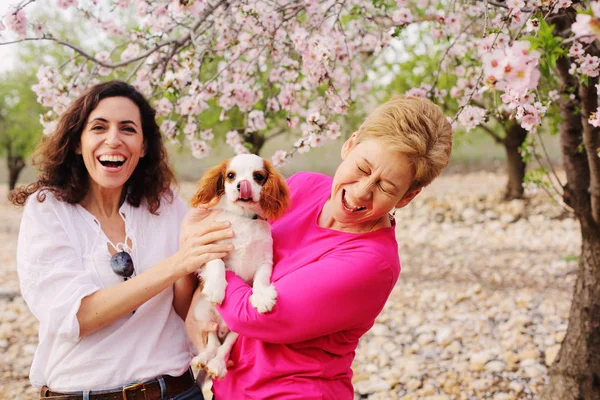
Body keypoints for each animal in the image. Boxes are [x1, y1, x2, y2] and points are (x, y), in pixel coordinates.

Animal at [189, 152, 290, 378]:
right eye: (231, 176)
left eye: (258, 176)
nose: (241, 185)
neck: (245, 218)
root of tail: (221, 326)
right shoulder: (213, 247)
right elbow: (217, 264)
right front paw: (216, 288)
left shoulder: (265, 260)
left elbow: (261, 279)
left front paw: (262, 298)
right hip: (203, 313)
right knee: (212, 342)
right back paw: (203, 358)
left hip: (238, 330)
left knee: (223, 347)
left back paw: (217, 364)